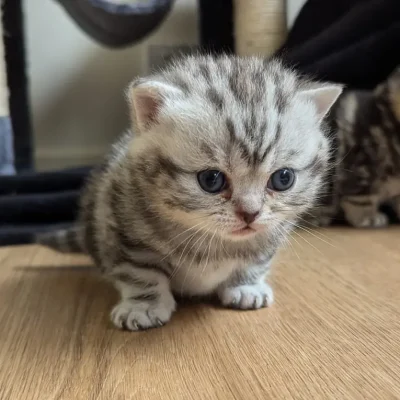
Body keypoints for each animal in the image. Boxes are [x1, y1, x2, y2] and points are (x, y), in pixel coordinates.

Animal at [39, 54, 342, 330]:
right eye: (211, 180)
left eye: (283, 179)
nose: (250, 213)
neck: (212, 241)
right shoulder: (121, 224)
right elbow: (140, 271)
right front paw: (143, 305)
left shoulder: (271, 233)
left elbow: (256, 260)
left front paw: (246, 285)